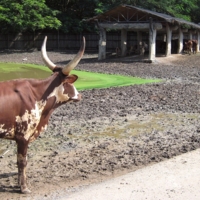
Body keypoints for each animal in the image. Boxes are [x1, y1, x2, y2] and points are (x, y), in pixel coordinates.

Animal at [0, 36, 85, 194]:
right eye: (68, 83)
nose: (80, 95)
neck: (37, 95)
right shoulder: (23, 136)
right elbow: (22, 161)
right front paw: (24, 188)